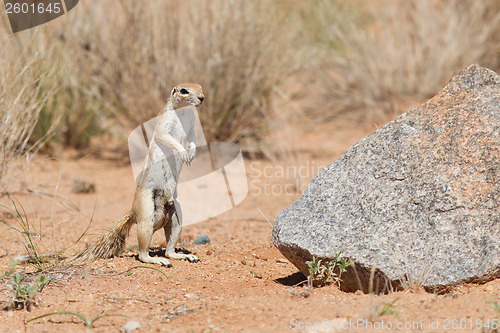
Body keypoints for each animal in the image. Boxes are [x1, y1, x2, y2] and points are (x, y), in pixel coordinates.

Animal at [75, 83, 204, 268]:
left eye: (200, 87)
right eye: (184, 90)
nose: (202, 98)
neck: (183, 112)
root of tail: (133, 211)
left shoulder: (192, 126)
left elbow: (193, 137)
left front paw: (191, 152)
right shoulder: (164, 124)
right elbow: (166, 137)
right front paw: (183, 152)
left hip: (176, 216)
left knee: (169, 249)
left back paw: (183, 256)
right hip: (146, 215)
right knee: (142, 253)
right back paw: (157, 260)